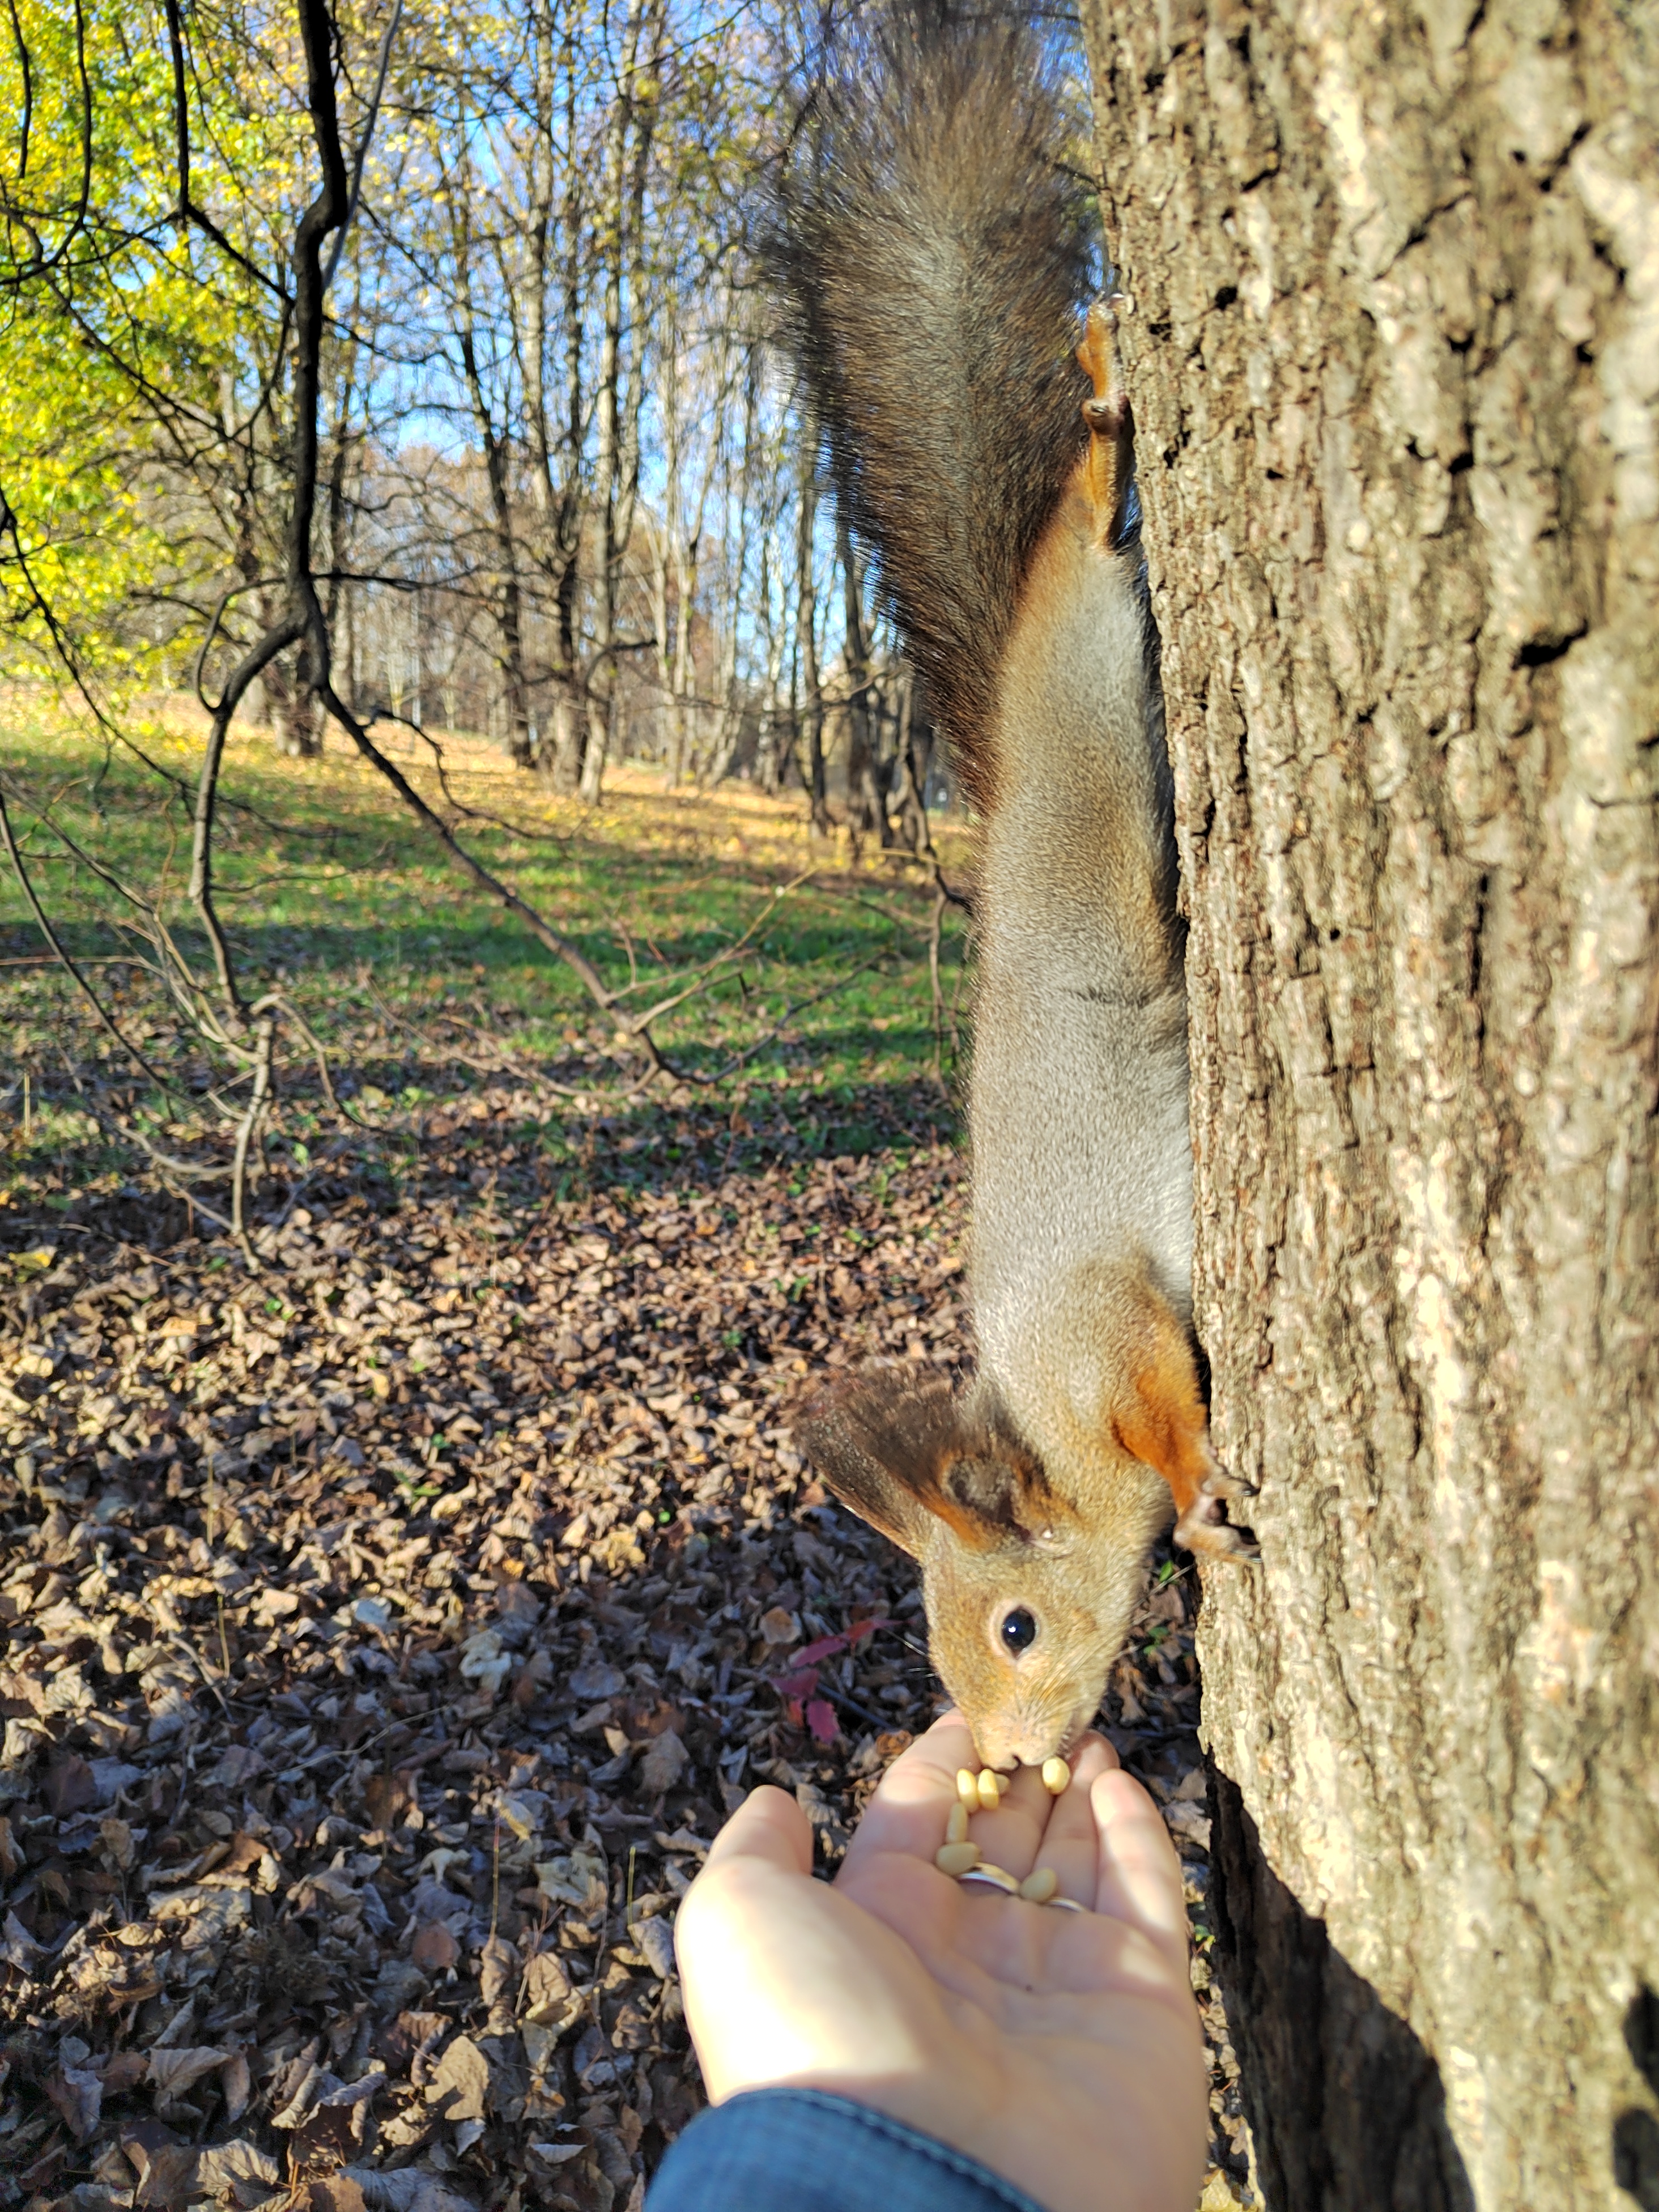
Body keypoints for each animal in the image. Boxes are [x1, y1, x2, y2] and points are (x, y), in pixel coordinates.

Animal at [773, 0, 1256, 1773]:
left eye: (1017, 1628)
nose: (999, 1758)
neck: (1040, 1428)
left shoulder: (1100, 1326)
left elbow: (1167, 1409)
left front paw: (1202, 1493)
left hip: (1099, 698)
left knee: (1085, 509)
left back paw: (1109, 401)